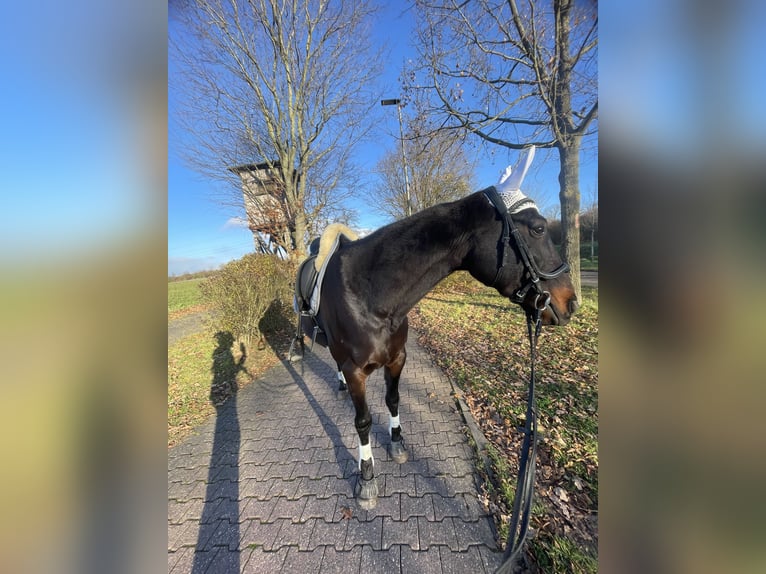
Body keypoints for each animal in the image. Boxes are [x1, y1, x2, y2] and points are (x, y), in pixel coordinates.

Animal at [292, 158, 576, 508]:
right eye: (537, 228)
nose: (570, 302)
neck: (368, 293)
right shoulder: (356, 370)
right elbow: (363, 421)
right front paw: (367, 477)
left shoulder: (397, 359)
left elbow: (393, 400)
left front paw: (397, 444)